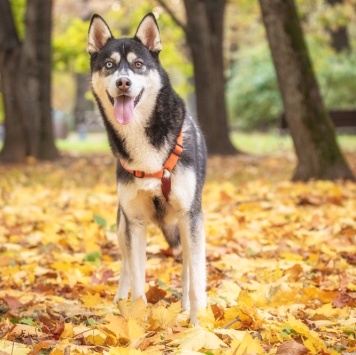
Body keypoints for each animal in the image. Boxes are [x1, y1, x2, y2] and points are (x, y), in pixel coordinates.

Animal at [87, 13, 207, 326]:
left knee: (187, 267)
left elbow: (196, 278)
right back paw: (118, 304)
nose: (123, 82)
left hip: (184, 224)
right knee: (127, 267)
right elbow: (138, 280)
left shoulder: (190, 216)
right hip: (122, 226)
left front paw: (199, 326)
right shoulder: (135, 222)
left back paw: (186, 308)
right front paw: (136, 322)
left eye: (138, 64)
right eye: (109, 65)